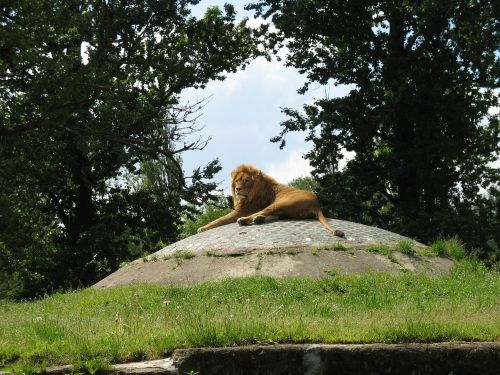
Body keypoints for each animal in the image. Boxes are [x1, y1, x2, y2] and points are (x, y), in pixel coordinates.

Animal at [197, 165, 346, 238]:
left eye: (246, 181)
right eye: (237, 181)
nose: (238, 189)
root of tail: (317, 204)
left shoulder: (241, 210)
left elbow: (219, 220)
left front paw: (202, 228)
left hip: (281, 203)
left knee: (260, 214)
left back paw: (245, 220)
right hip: (286, 210)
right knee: (275, 216)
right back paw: (259, 219)